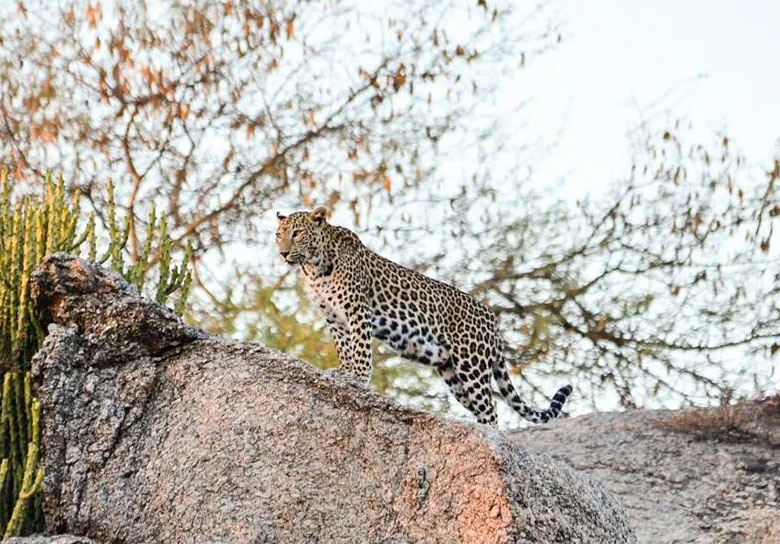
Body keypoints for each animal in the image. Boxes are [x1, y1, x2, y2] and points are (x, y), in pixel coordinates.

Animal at [274, 207, 572, 424]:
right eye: (279, 234)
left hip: (472, 364)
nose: (283, 253)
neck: (314, 268)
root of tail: (492, 319)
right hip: (452, 372)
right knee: (482, 407)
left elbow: (360, 347)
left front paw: (357, 376)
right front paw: (345, 371)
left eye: (297, 233)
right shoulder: (334, 318)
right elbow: (344, 347)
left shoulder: (357, 309)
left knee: (490, 410)